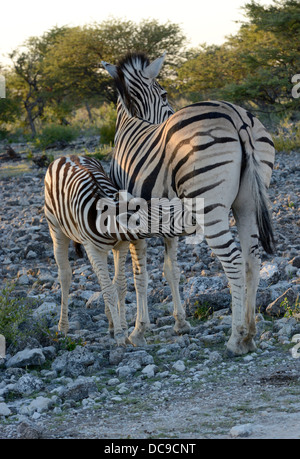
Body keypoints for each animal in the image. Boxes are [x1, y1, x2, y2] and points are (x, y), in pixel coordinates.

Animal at [102, 53, 276, 356]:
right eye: (164, 94)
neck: (131, 122)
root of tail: (237, 116)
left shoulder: (133, 221)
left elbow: (140, 275)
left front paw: (138, 331)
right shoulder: (166, 222)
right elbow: (171, 271)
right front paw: (180, 323)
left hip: (209, 206)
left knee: (234, 260)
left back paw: (236, 337)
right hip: (248, 203)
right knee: (252, 258)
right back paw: (251, 333)